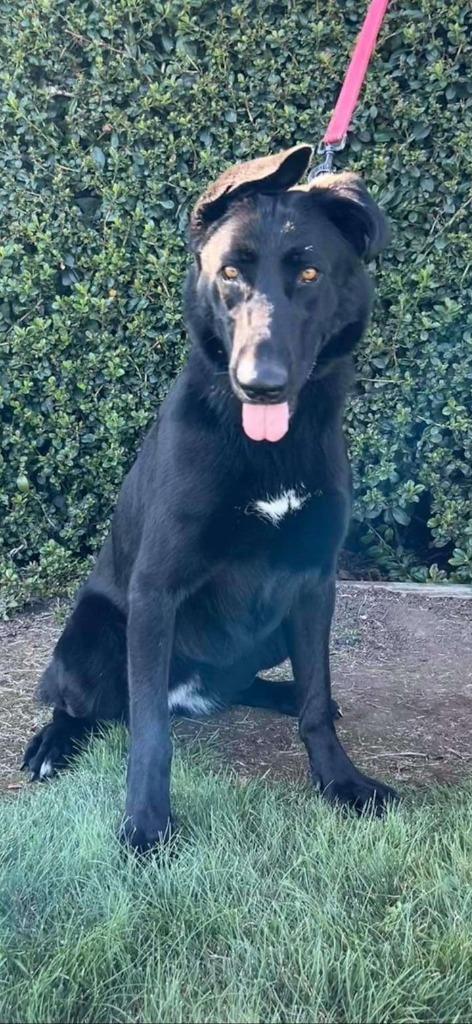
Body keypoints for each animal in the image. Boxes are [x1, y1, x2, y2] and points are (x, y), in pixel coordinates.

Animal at [23, 144, 397, 847]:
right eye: (229, 273)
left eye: (310, 272)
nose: (260, 384)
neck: (268, 446)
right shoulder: (156, 592)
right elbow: (149, 734)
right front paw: (146, 827)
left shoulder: (315, 584)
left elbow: (315, 699)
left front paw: (342, 782)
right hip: (91, 636)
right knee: (82, 704)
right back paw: (52, 743)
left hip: (271, 630)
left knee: (250, 684)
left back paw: (277, 696)